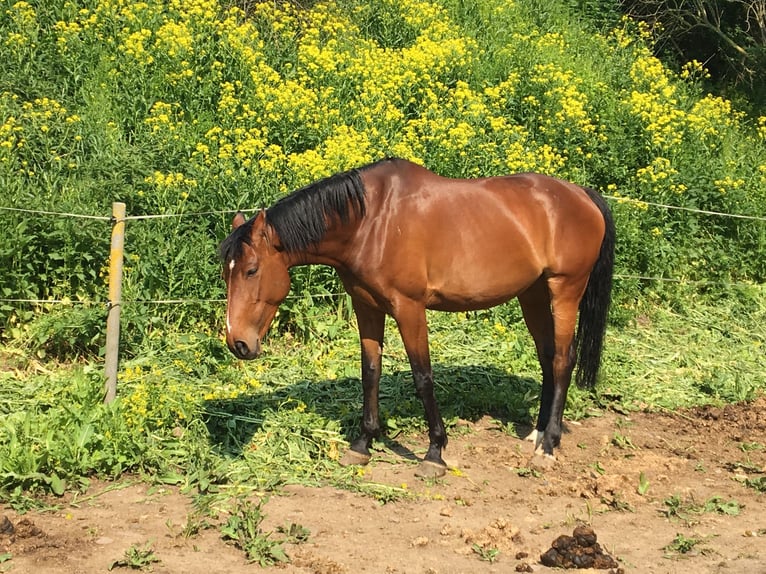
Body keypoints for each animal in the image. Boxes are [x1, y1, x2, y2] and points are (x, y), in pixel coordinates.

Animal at [219, 158, 615, 478]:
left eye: (252, 270)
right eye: (226, 272)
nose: (238, 342)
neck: (371, 220)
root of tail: (581, 194)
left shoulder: (409, 308)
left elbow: (423, 377)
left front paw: (435, 452)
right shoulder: (366, 306)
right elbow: (370, 372)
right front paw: (362, 445)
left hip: (565, 290)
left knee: (563, 360)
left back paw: (547, 447)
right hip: (532, 293)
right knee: (547, 357)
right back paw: (538, 432)